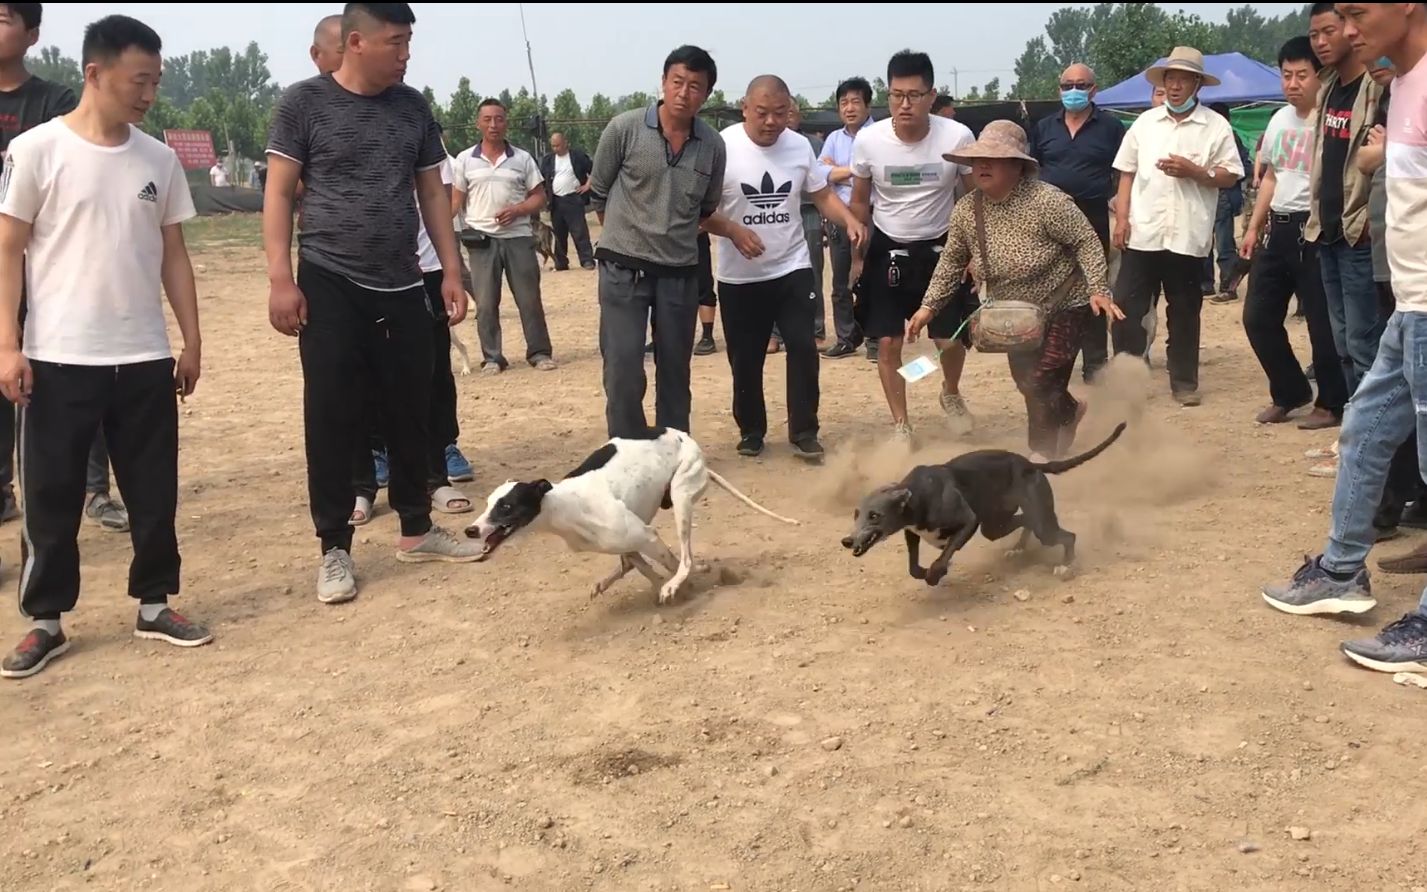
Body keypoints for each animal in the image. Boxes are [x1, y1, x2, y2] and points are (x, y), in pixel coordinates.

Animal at [468, 425, 804, 605]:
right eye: (488, 504)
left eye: (506, 506)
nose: (470, 531)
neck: (564, 503)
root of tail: (682, 434)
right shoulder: (630, 543)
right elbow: (641, 567)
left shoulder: (646, 536)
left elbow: (671, 563)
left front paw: (678, 587)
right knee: (632, 563)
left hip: (682, 496)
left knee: (685, 557)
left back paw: (681, 577)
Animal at [833, 422, 1124, 585]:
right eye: (856, 514)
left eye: (874, 516)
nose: (847, 541)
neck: (917, 492)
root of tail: (1031, 465)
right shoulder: (912, 532)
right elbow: (914, 566)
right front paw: (927, 570)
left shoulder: (968, 522)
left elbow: (942, 557)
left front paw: (936, 573)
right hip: (996, 524)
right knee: (1025, 522)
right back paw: (1018, 548)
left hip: (1033, 525)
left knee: (1066, 535)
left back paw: (1066, 565)